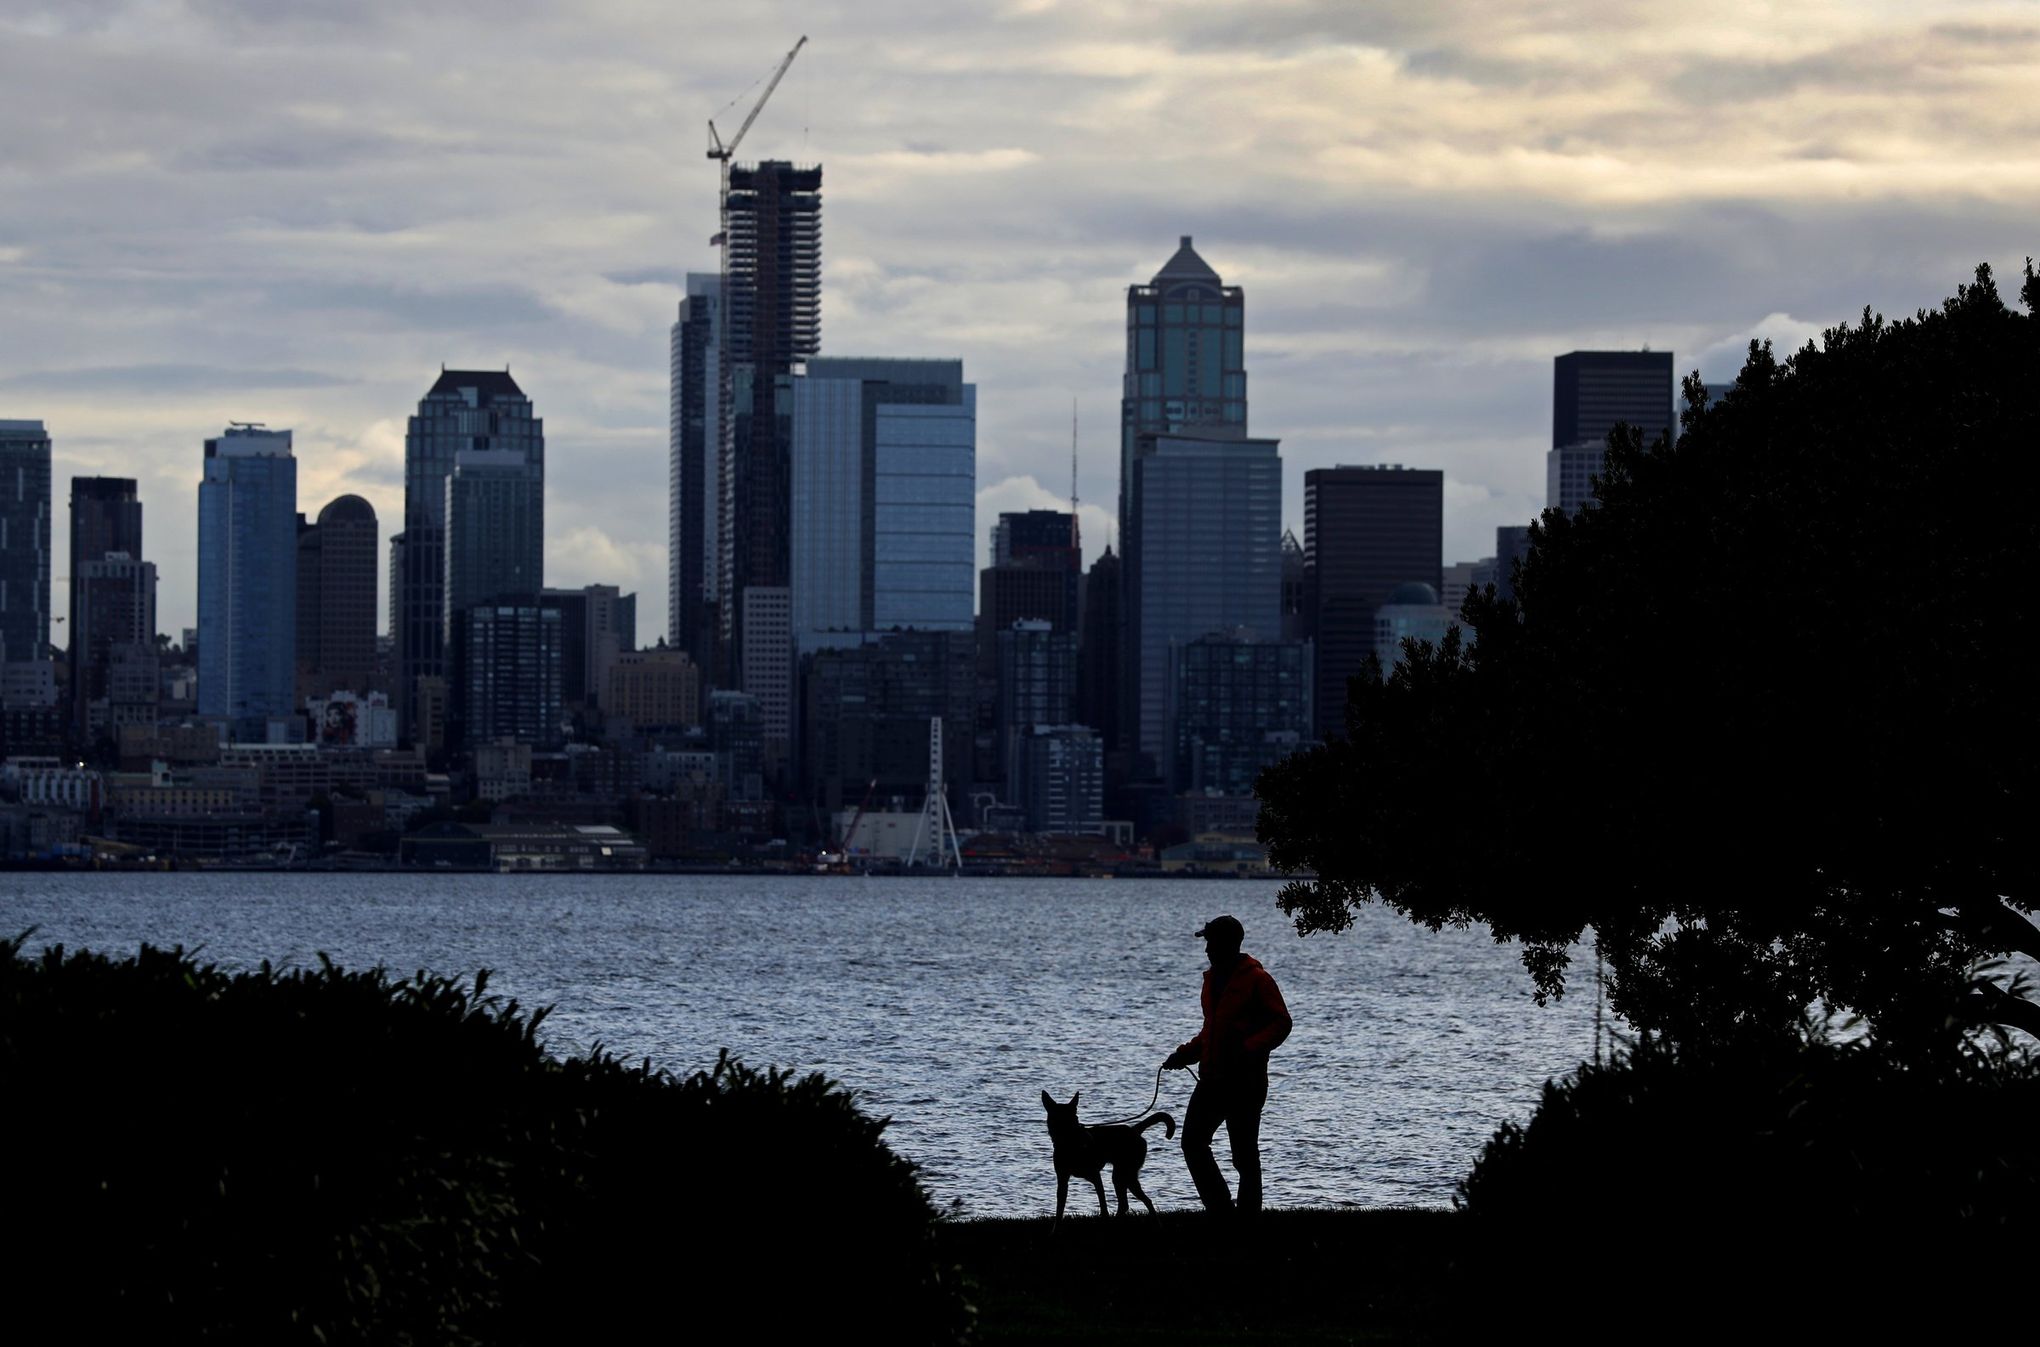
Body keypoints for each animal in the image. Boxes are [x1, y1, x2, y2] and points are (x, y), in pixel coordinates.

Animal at [1044, 1085, 1175, 1224]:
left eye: (1074, 1116)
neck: (1070, 1143)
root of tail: (1134, 1130)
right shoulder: (1062, 1179)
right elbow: (1059, 1210)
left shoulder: (1096, 1176)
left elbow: (1103, 1205)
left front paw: (1104, 1217)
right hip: (1123, 1176)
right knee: (1130, 1203)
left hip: (1124, 1174)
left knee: (1138, 1202)